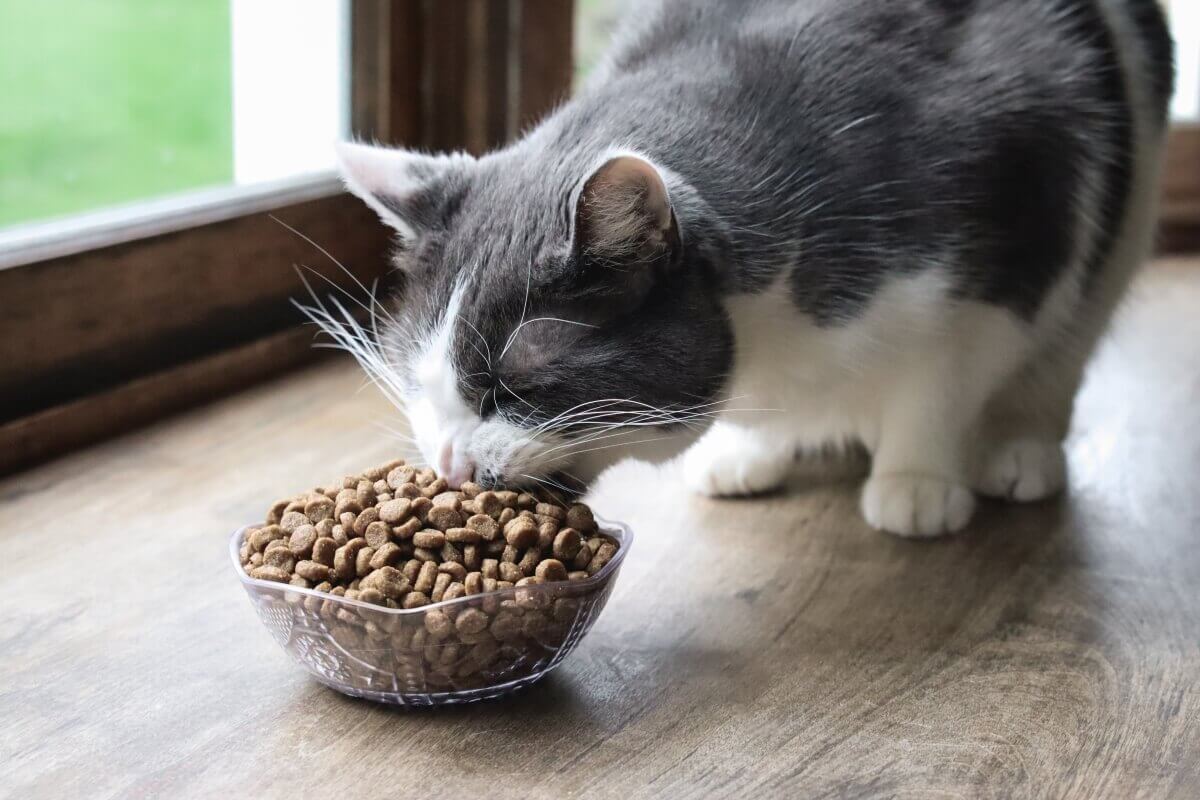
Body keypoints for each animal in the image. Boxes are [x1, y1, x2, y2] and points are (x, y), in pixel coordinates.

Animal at [324, 0, 1176, 537]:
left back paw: (1018, 449)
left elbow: (940, 382)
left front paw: (917, 483)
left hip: (1123, 207)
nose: (448, 462)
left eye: (518, 388)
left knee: (1064, 352)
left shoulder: (1005, 248)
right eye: (419, 383)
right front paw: (754, 443)